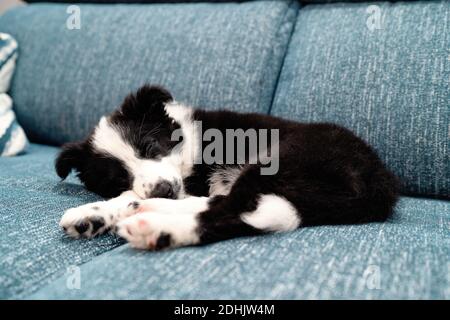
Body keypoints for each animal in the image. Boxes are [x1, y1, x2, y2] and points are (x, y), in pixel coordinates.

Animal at [55, 85, 398, 250]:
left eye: (151, 148)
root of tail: (380, 183)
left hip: (283, 159)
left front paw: (97, 211)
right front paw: (94, 214)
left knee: (235, 208)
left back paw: (159, 227)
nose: (164, 189)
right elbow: (131, 193)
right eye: (117, 178)